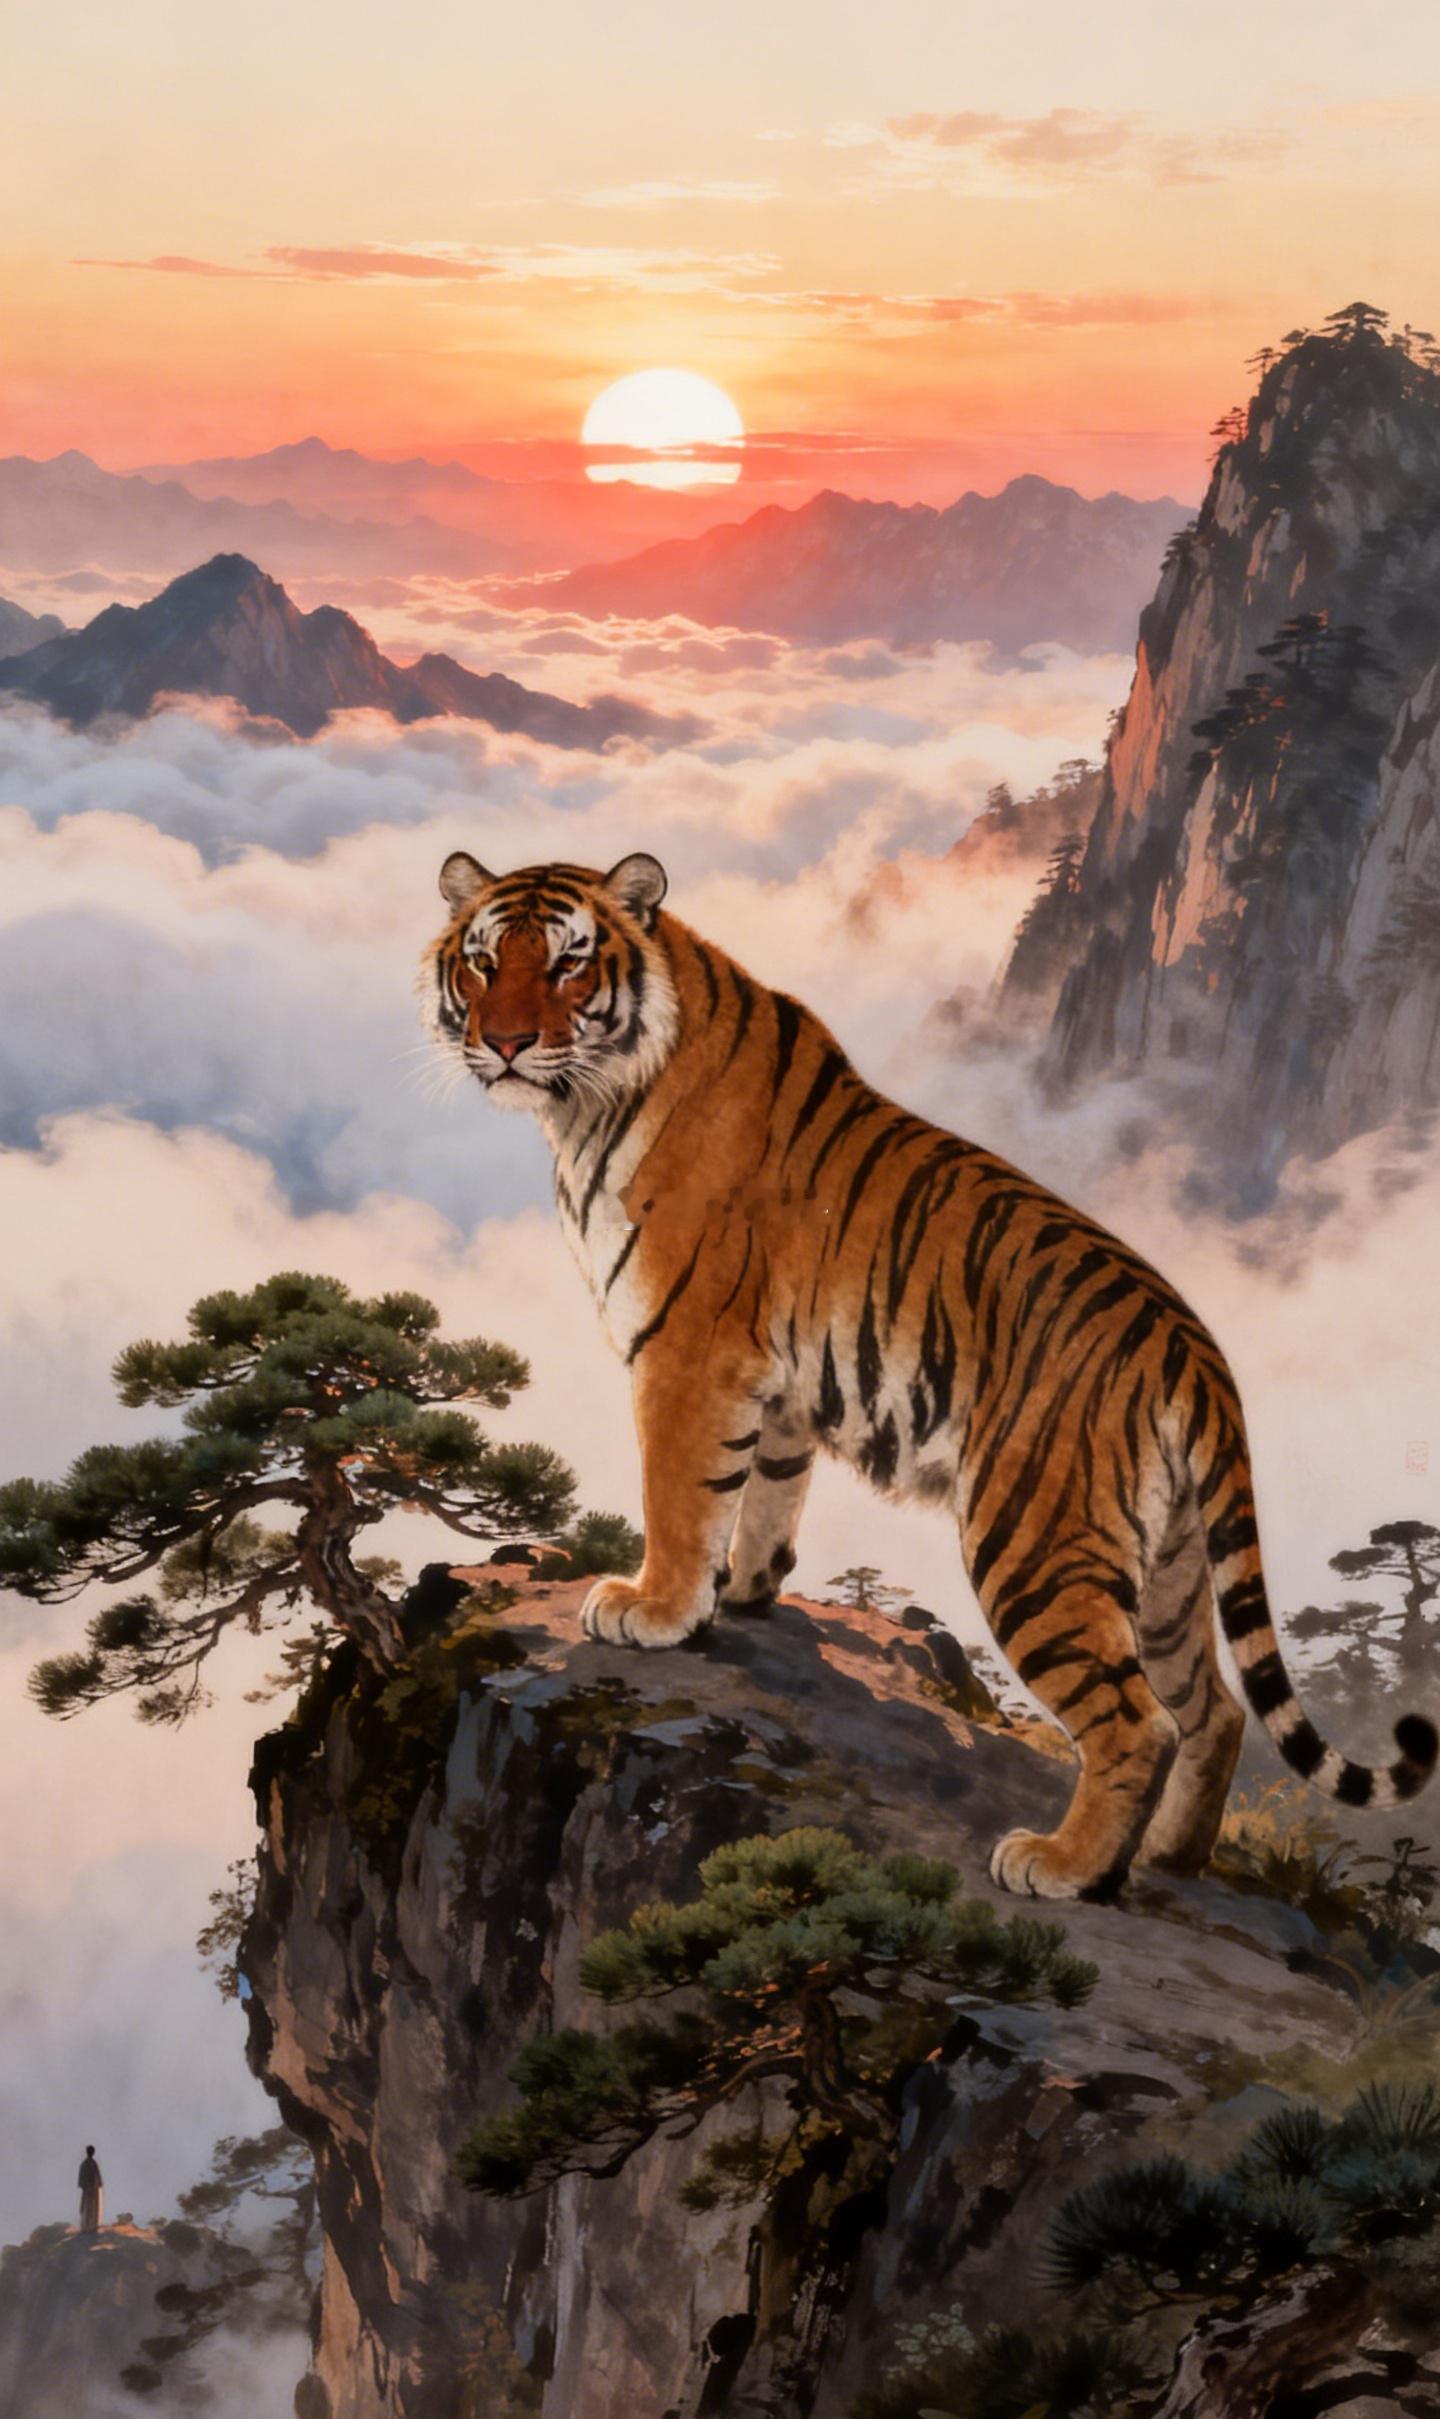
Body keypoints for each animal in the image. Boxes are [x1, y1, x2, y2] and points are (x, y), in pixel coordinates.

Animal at [421, 848, 1436, 1900]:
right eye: (485, 961)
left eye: (569, 963)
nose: (505, 1043)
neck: (588, 1102)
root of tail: (1195, 1349)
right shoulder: (778, 1376)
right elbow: (767, 1487)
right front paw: (744, 1590)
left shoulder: (688, 1350)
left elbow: (682, 1493)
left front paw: (653, 1607)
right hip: (1173, 1564)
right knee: (1216, 1707)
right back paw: (1168, 1857)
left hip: (1033, 1537)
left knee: (1136, 1719)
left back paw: (1061, 1864)